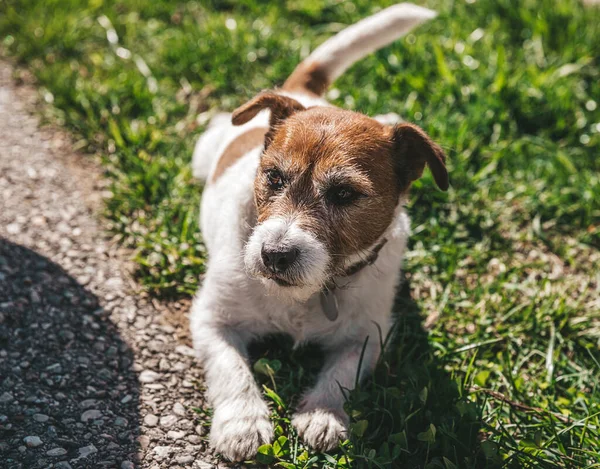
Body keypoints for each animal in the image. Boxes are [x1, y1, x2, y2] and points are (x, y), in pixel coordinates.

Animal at [190, 2, 448, 460]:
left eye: (344, 193)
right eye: (273, 178)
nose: (274, 255)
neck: (310, 295)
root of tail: (304, 93)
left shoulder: (368, 335)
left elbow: (343, 372)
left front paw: (323, 414)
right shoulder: (211, 320)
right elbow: (230, 368)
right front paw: (242, 423)